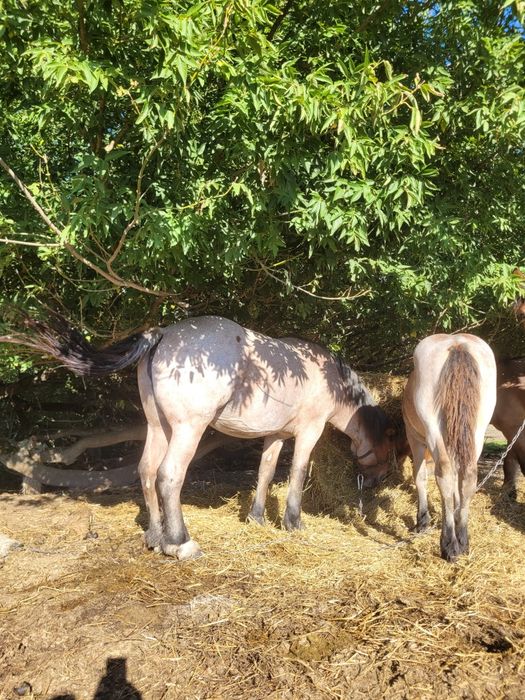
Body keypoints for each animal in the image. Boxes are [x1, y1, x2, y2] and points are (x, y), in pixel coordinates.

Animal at [2, 313, 399, 559]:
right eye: (390, 449)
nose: (378, 482)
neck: (325, 376)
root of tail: (162, 334)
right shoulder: (308, 432)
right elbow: (297, 475)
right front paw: (293, 522)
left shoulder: (273, 436)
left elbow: (265, 473)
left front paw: (257, 518)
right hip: (187, 430)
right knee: (169, 476)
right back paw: (180, 543)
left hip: (158, 427)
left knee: (146, 472)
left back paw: (156, 536)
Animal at [402, 334, 497, 562]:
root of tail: (457, 344)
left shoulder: (415, 439)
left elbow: (420, 477)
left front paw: (422, 521)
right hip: (477, 432)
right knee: (468, 475)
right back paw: (462, 539)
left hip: (434, 429)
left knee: (444, 474)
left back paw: (449, 544)